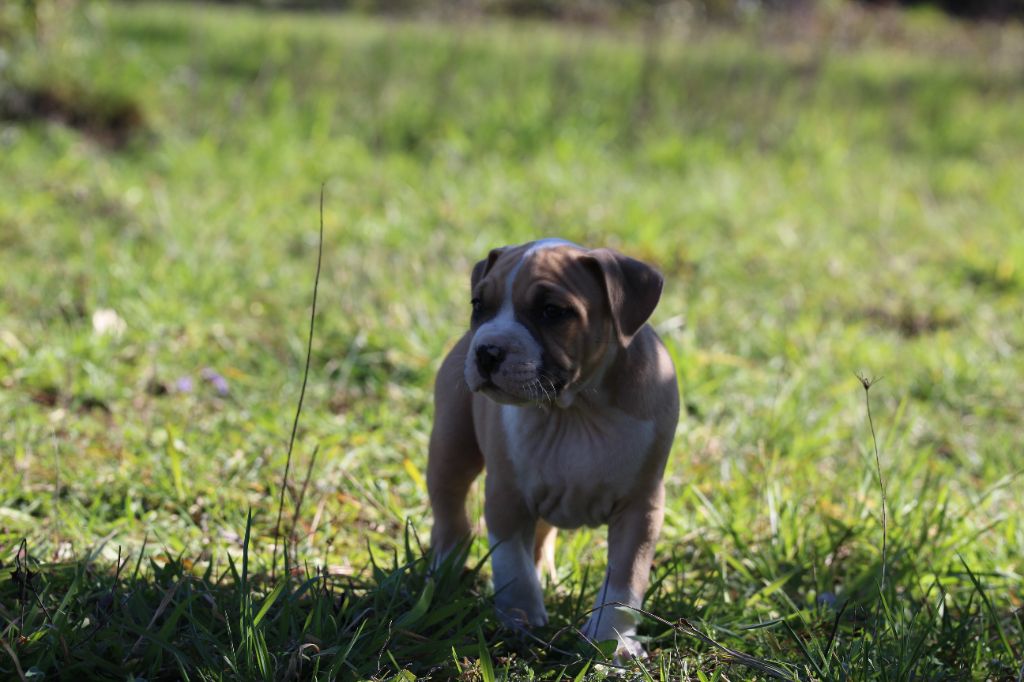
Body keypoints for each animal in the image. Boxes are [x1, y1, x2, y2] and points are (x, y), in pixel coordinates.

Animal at [425, 237, 679, 655]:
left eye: (552, 311)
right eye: (478, 305)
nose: (487, 351)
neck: (575, 410)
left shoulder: (640, 508)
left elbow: (625, 581)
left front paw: (612, 640)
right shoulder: (507, 498)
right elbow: (512, 566)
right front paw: (522, 622)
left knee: (542, 535)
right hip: (451, 446)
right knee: (450, 511)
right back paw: (444, 570)